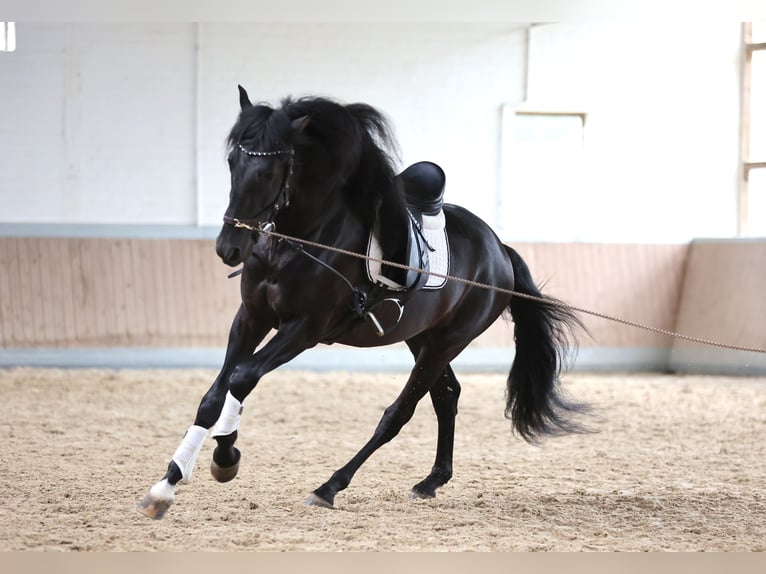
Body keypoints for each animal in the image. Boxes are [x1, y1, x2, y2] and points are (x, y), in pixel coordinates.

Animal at [136, 86, 588, 520]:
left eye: (267, 171)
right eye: (232, 162)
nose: (229, 248)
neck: (300, 238)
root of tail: (499, 248)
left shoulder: (304, 329)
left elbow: (242, 377)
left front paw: (226, 456)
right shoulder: (251, 317)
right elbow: (213, 395)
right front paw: (167, 484)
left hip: (448, 341)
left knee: (399, 413)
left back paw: (329, 487)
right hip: (422, 338)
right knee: (446, 396)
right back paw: (430, 482)